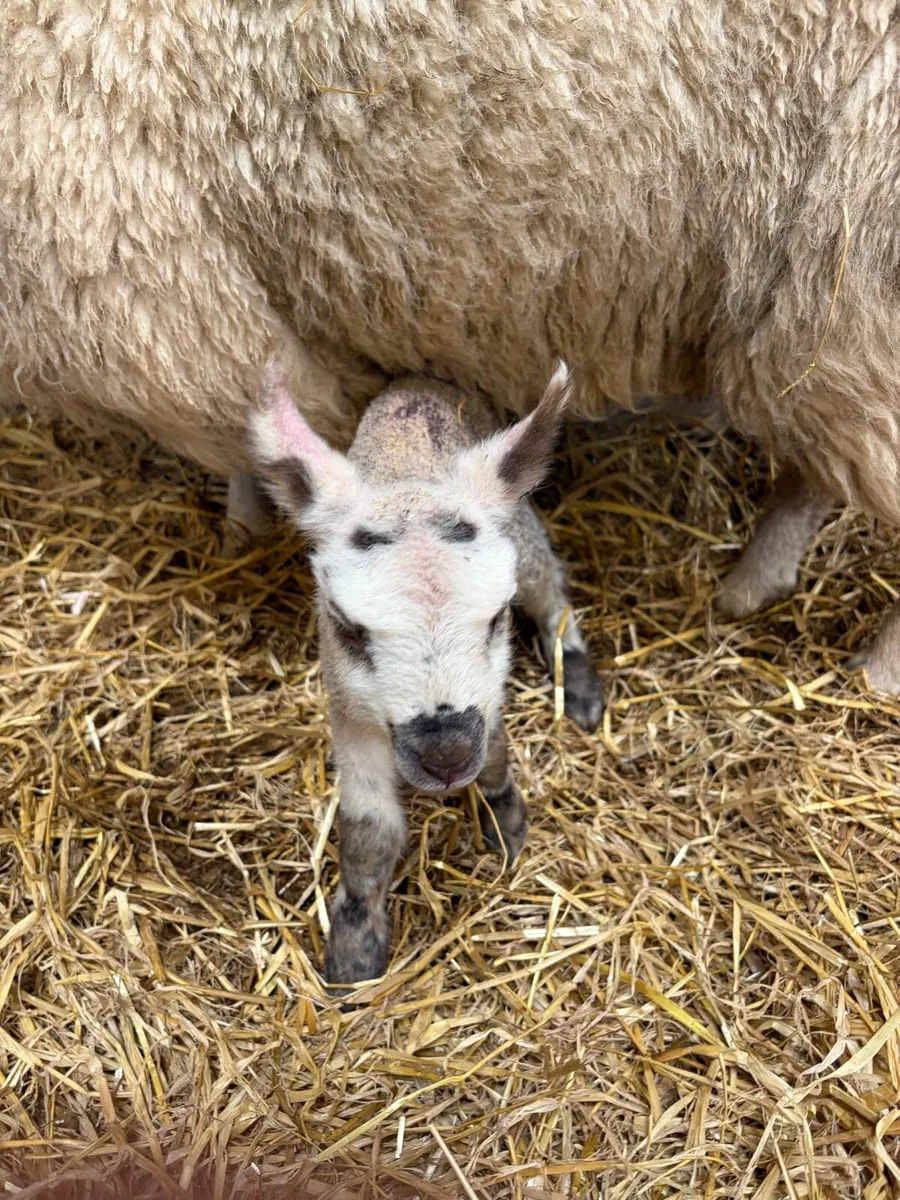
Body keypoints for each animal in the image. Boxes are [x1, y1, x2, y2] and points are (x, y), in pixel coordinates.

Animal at [4, 1, 900, 684]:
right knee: (814, 464)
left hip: (853, 274)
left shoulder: (177, 312)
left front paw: (243, 534)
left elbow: (257, 450)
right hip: (806, 310)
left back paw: (874, 674)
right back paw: (750, 587)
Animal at [248, 360, 602, 986]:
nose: (446, 756)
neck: (405, 469)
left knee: (550, 591)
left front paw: (504, 821)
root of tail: (418, 381)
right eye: (347, 628)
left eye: (496, 617)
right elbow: (369, 829)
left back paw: (579, 685)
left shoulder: (489, 688)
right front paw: (354, 952)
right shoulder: (348, 710)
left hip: (522, 527)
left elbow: (496, 755)